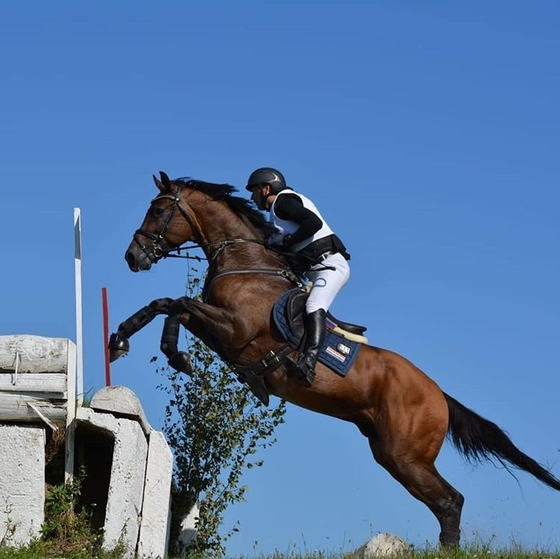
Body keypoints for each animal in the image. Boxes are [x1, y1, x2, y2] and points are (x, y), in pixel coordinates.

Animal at [110, 170, 560, 548]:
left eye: (159, 209)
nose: (133, 257)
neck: (246, 264)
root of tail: (439, 394)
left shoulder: (234, 330)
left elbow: (176, 304)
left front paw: (172, 354)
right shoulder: (220, 332)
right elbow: (166, 304)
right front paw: (124, 341)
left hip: (406, 455)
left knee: (451, 501)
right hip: (390, 454)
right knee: (446, 502)